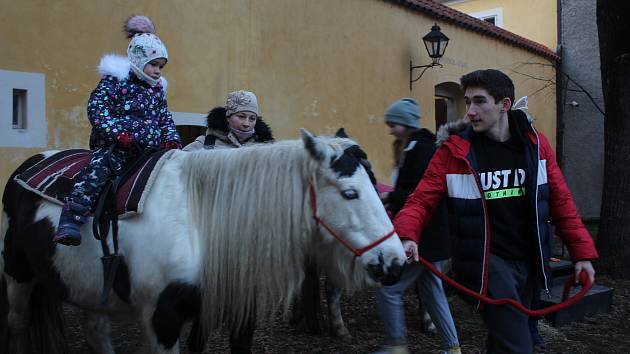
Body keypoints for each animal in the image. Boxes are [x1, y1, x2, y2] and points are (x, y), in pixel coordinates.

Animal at [0, 131, 408, 354]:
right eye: (350, 193)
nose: (395, 261)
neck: (197, 221)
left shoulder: (226, 309)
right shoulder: (162, 320)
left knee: (95, 331)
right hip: (18, 275)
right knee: (17, 323)